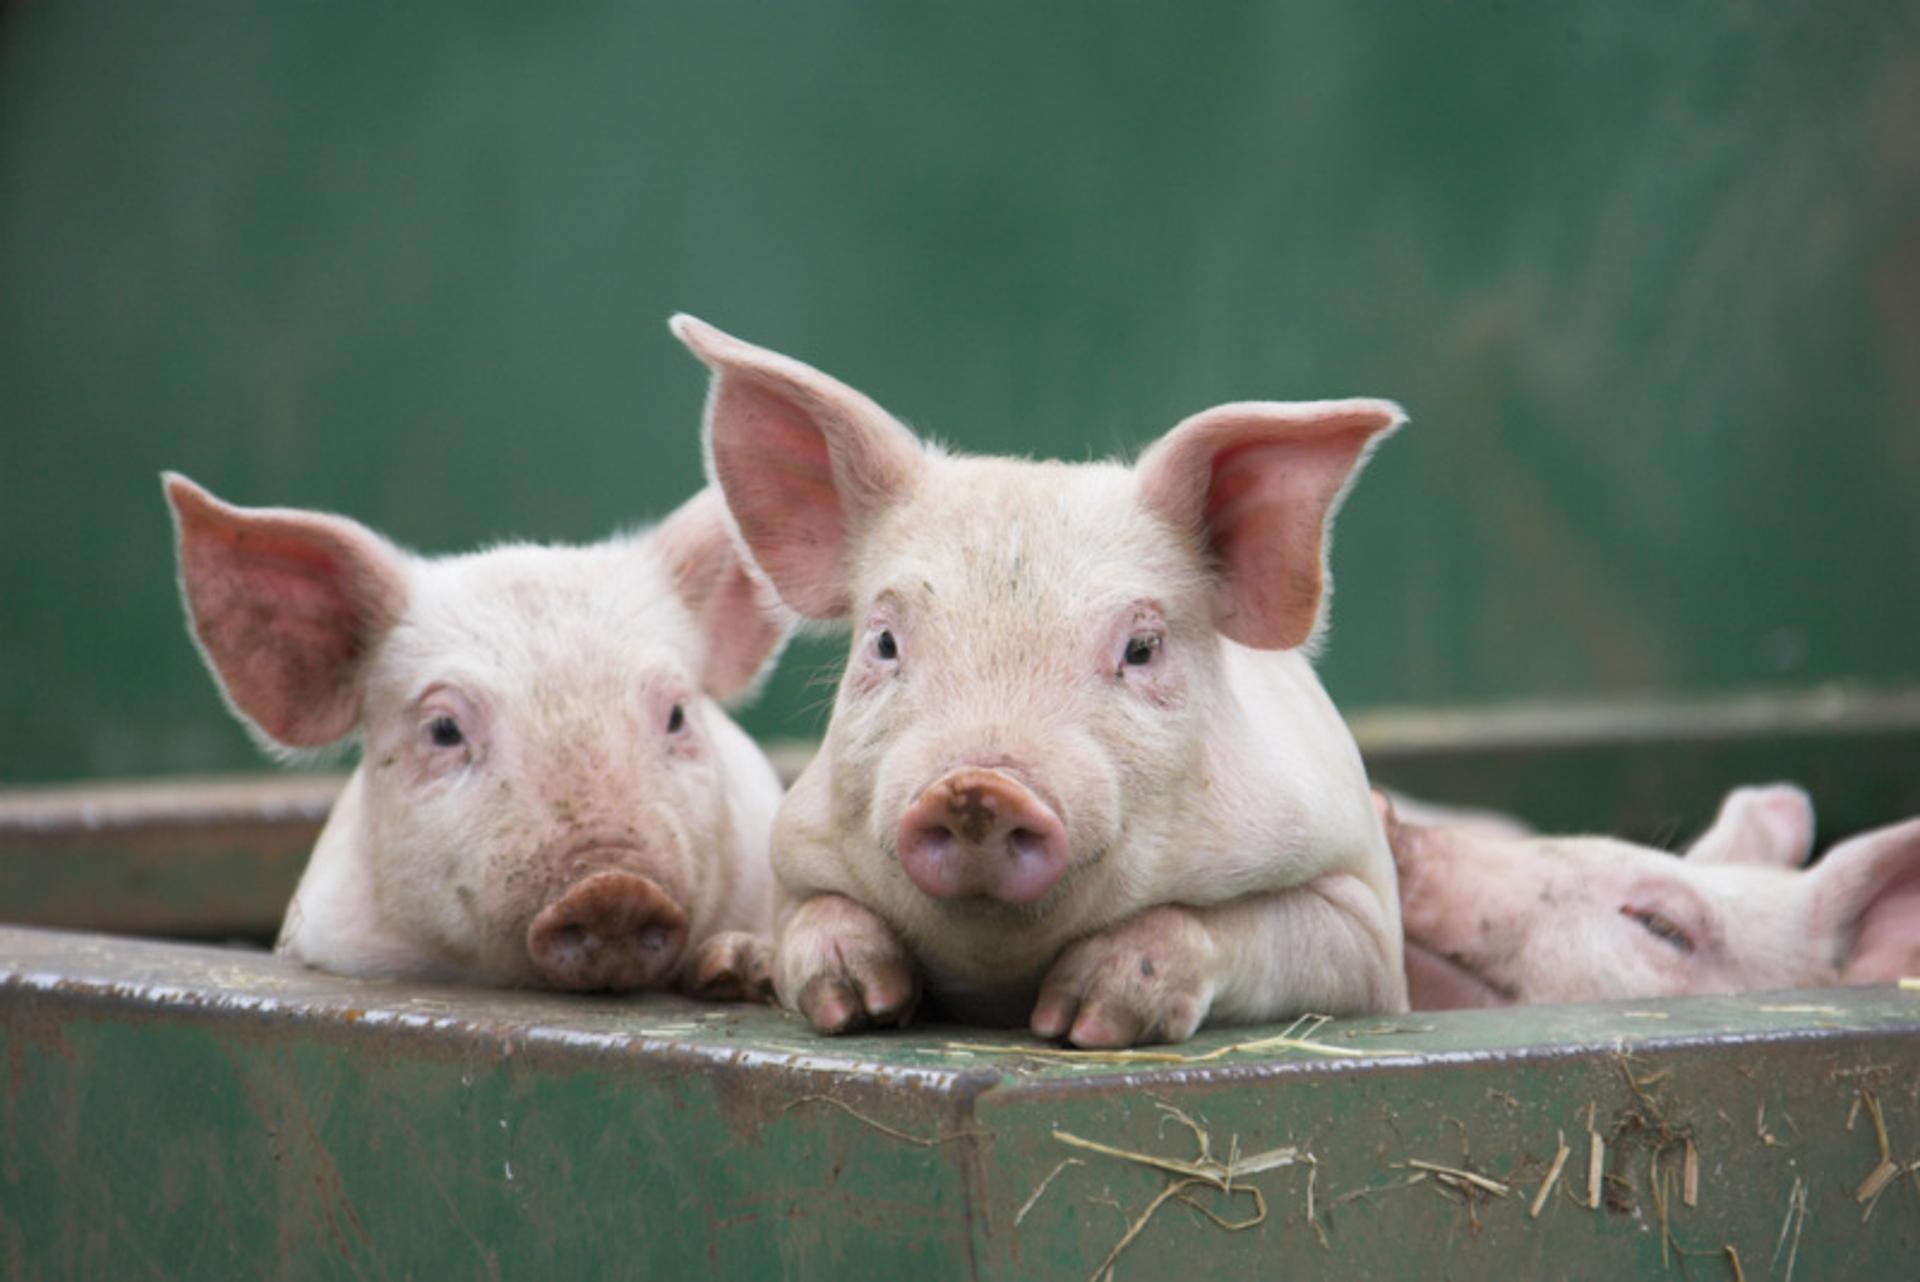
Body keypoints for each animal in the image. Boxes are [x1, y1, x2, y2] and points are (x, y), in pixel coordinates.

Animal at [670, 314, 1409, 1047]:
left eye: (1142, 648)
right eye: (883, 642)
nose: (978, 786)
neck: (1001, 972)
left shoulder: (1364, 917)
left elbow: (1240, 927)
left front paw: (1083, 1024)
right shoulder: (794, 860)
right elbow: (815, 914)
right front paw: (859, 1000)